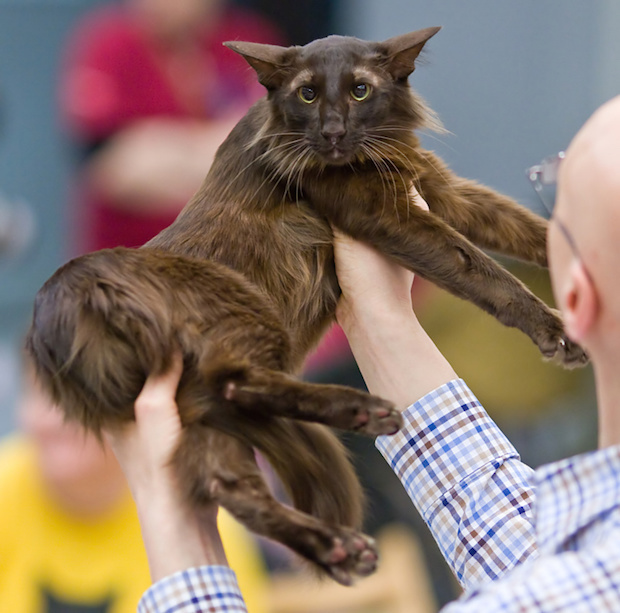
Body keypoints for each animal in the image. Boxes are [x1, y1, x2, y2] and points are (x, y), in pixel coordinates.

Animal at [25, 27, 588, 584]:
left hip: (194, 411)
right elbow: (483, 271)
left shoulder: (442, 189)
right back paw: (363, 413)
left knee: (229, 484)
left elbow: (526, 231)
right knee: (238, 382)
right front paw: (555, 331)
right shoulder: (386, 214)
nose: (333, 132)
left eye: (360, 90)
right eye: (308, 94)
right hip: (240, 317)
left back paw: (338, 547)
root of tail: (68, 291)